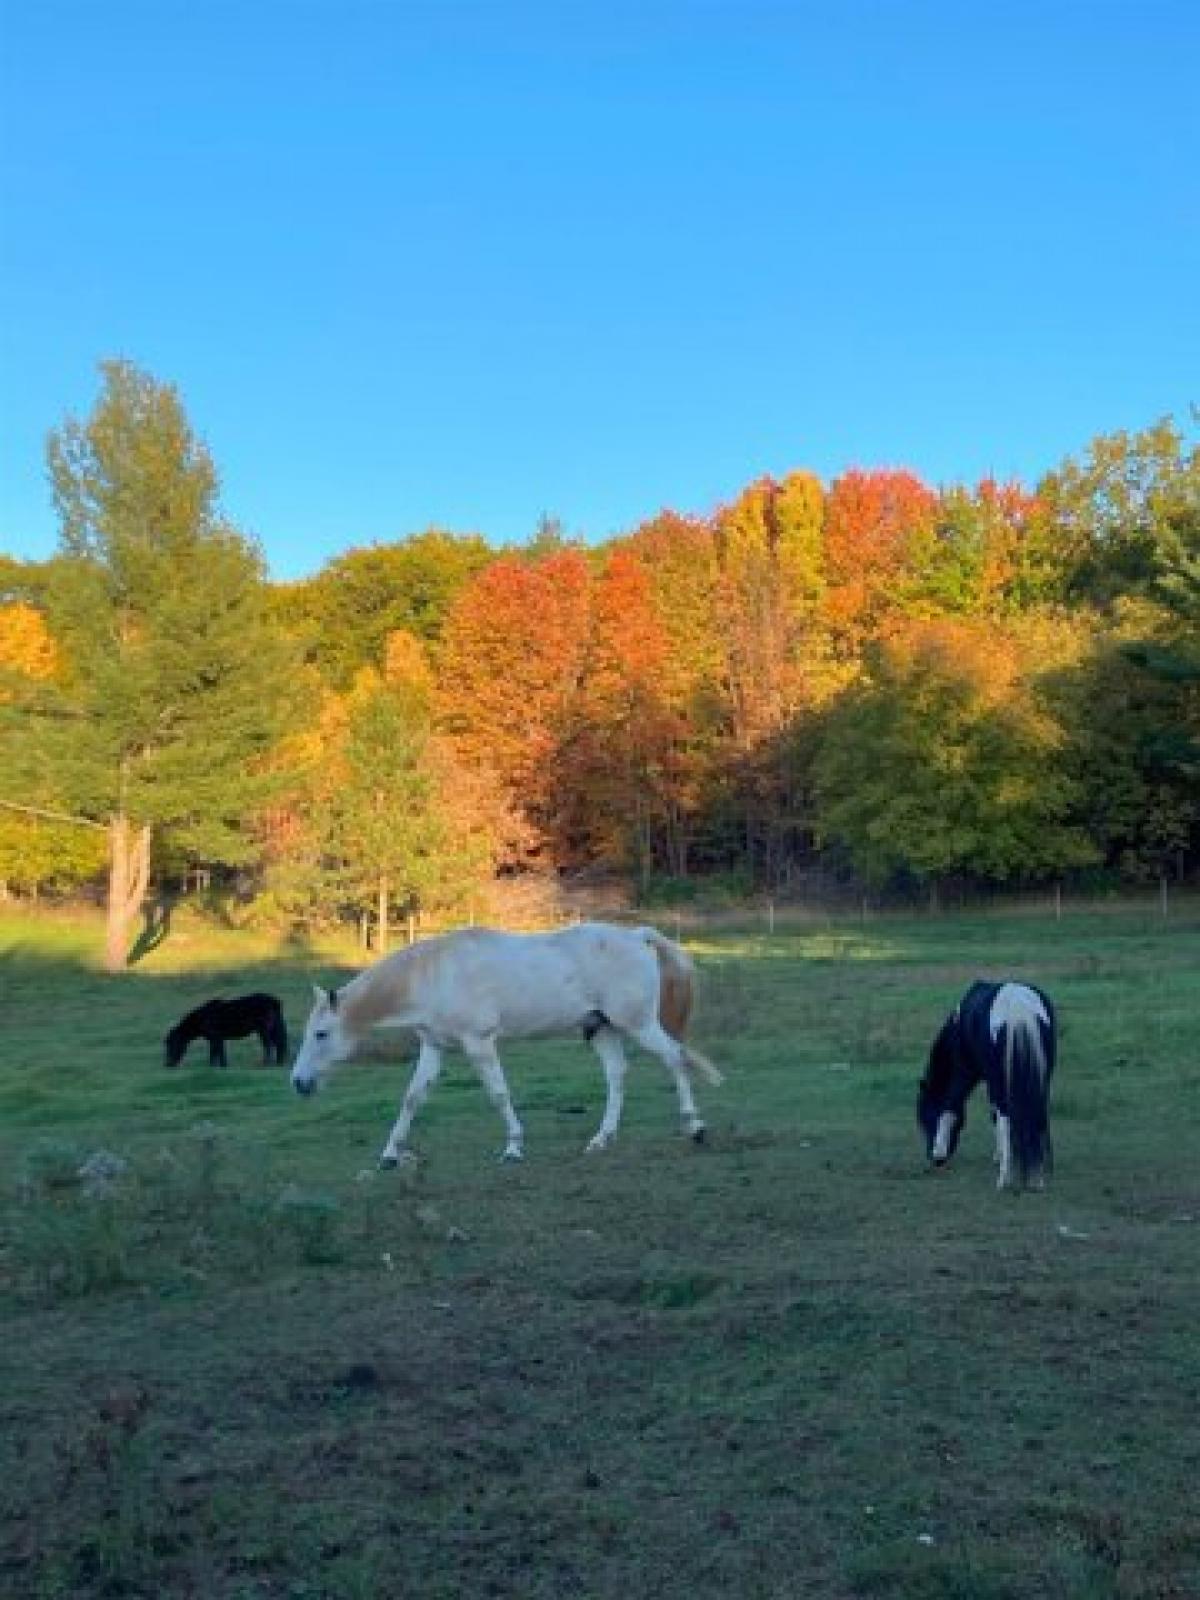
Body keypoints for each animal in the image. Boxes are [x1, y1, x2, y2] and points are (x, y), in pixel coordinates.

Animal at [291, 928, 723, 1164]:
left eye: (321, 1034)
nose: (298, 1083)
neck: (434, 976)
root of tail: (636, 935)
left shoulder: (479, 1043)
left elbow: (498, 1094)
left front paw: (514, 1148)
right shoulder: (434, 1048)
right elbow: (412, 1099)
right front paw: (390, 1155)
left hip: (639, 1025)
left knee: (674, 1059)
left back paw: (696, 1127)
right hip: (602, 1028)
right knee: (617, 1076)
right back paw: (601, 1139)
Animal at [921, 972, 1049, 1190]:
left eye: (925, 1119)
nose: (935, 1160)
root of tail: (1018, 1004)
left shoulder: (968, 1074)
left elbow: (955, 1107)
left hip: (999, 1081)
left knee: (1004, 1115)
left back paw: (1004, 1178)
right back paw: (1038, 1173)